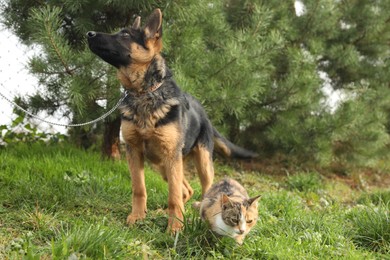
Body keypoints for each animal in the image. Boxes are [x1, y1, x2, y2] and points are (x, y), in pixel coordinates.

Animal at [87, 8, 258, 232]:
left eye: (124, 35)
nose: (89, 33)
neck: (145, 93)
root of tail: (204, 113)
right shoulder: (134, 151)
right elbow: (139, 188)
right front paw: (138, 216)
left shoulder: (170, 155)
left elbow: (173, 196)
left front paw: (175, 227)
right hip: (163, 164)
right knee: (186, 190)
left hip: (199, 163)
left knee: (203, 190)